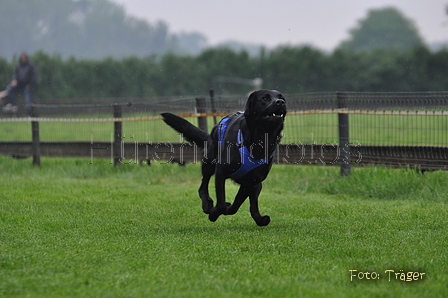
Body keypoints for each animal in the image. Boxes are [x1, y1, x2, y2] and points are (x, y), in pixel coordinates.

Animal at [162, 89, 288, 227]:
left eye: (282, 98)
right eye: (265, 98)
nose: (280, 102)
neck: (260, 139)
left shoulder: (251, 181)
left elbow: (236, 205)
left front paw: (226, 209)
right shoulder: (221, 171)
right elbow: (221, 202)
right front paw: (214, 213)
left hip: (257, 185)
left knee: (253, 204)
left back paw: (260, 219)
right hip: (208, 162)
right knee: (203, 187)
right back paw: (207, 205)